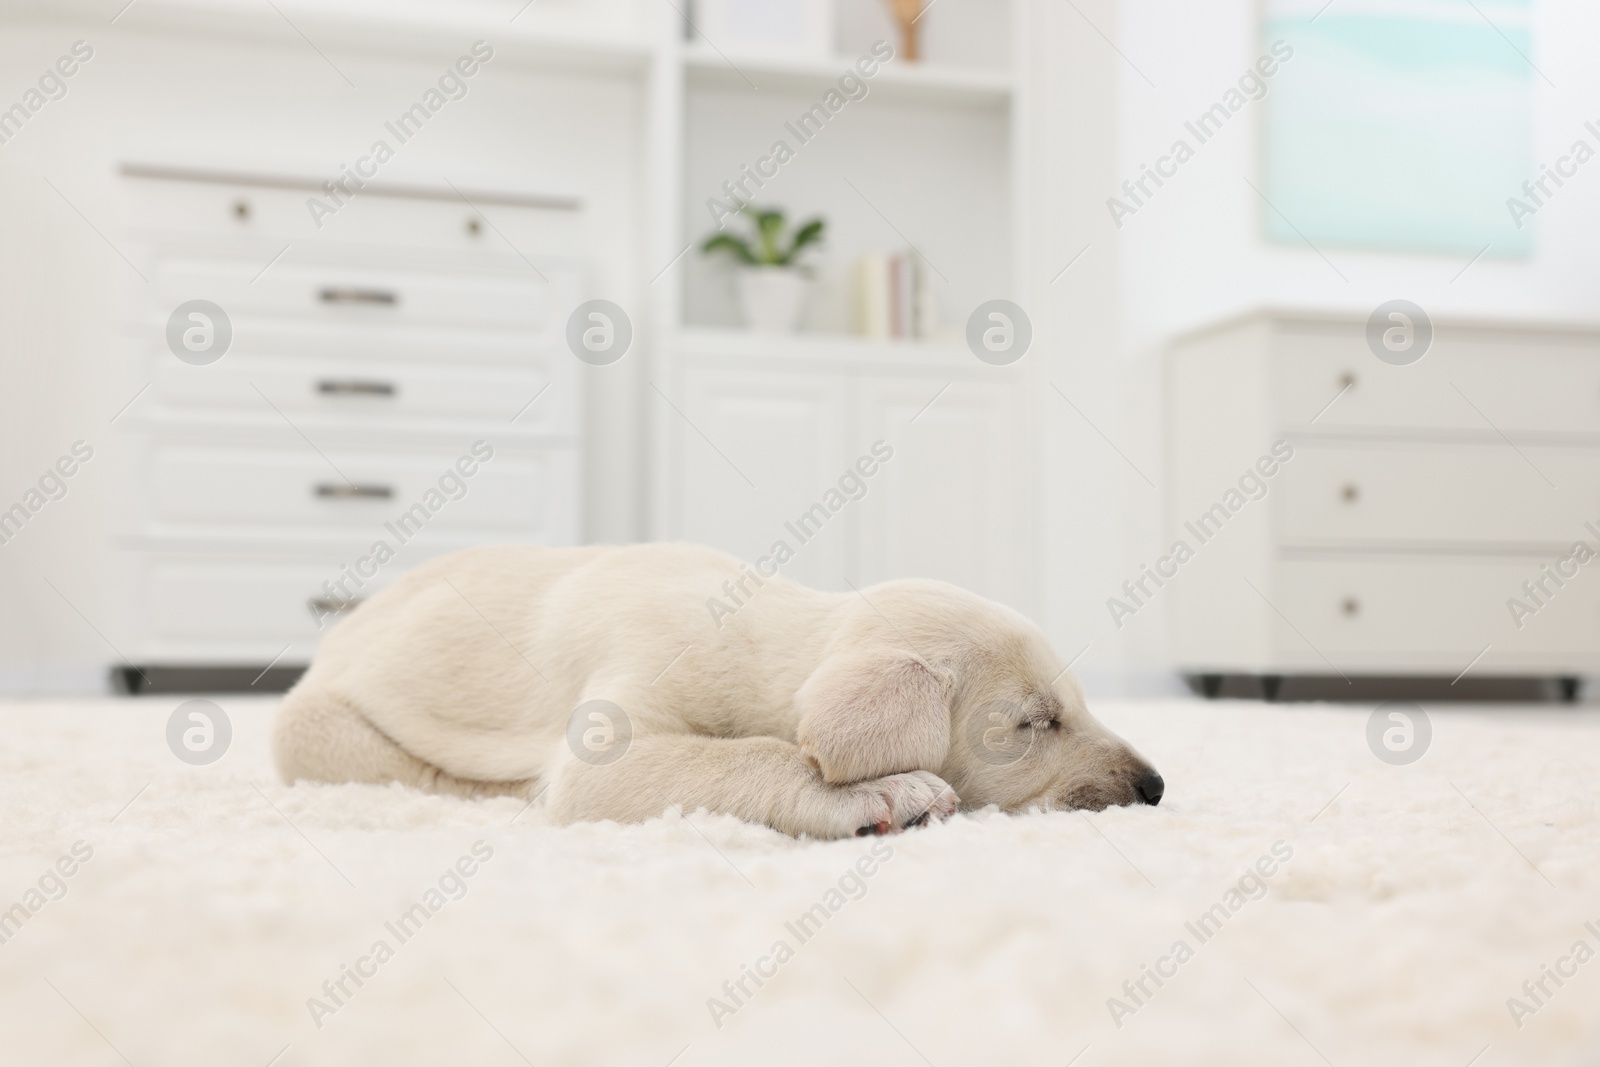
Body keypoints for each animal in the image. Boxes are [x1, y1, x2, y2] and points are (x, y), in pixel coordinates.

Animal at [275, 547, 1164, 838]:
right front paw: (885, 793)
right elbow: (753, 753)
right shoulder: (623, 719)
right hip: (315, 726)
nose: (1155, 786)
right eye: (1036, 721)